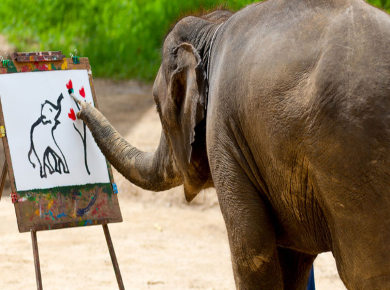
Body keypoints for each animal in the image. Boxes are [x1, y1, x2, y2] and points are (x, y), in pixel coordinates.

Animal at [71, 0, 390, 288]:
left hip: (352, 159)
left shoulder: (224, 133)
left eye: (157, 108)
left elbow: (251, 253)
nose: (79, 103)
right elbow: (291, 259)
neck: (212, 31)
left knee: (363, 273)